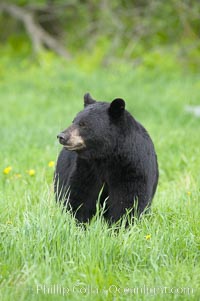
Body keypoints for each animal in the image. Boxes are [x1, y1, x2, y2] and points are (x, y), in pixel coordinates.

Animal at [54, 92, 158, 221]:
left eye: (83, 124)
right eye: (73, 121)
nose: (61, 136)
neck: (106, 156)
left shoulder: (133, 167)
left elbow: (128, 200)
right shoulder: (87, 167)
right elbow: (80, 195)